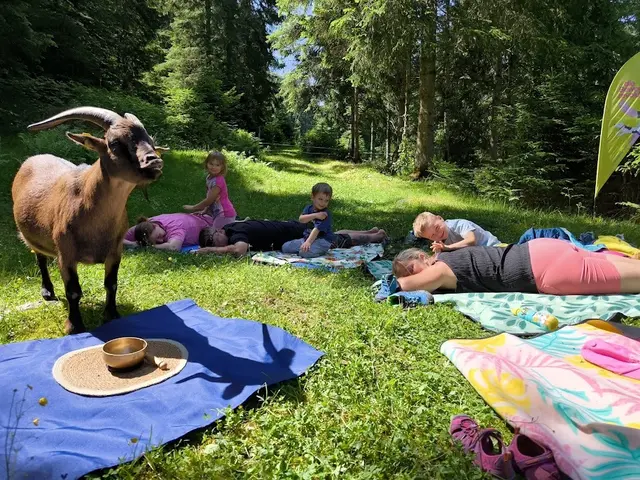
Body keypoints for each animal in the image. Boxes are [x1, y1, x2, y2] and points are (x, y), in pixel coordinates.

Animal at [11, 107, 164, 334]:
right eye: (114, 143)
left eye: (150, 140)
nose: (154, 162)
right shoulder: (66, 254)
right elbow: (73, 291)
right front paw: (75, 325)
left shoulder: (115, 251)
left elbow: (111, 284)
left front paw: (112, 315)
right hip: (33, 237)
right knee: (40, 258)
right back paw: (47, 291)